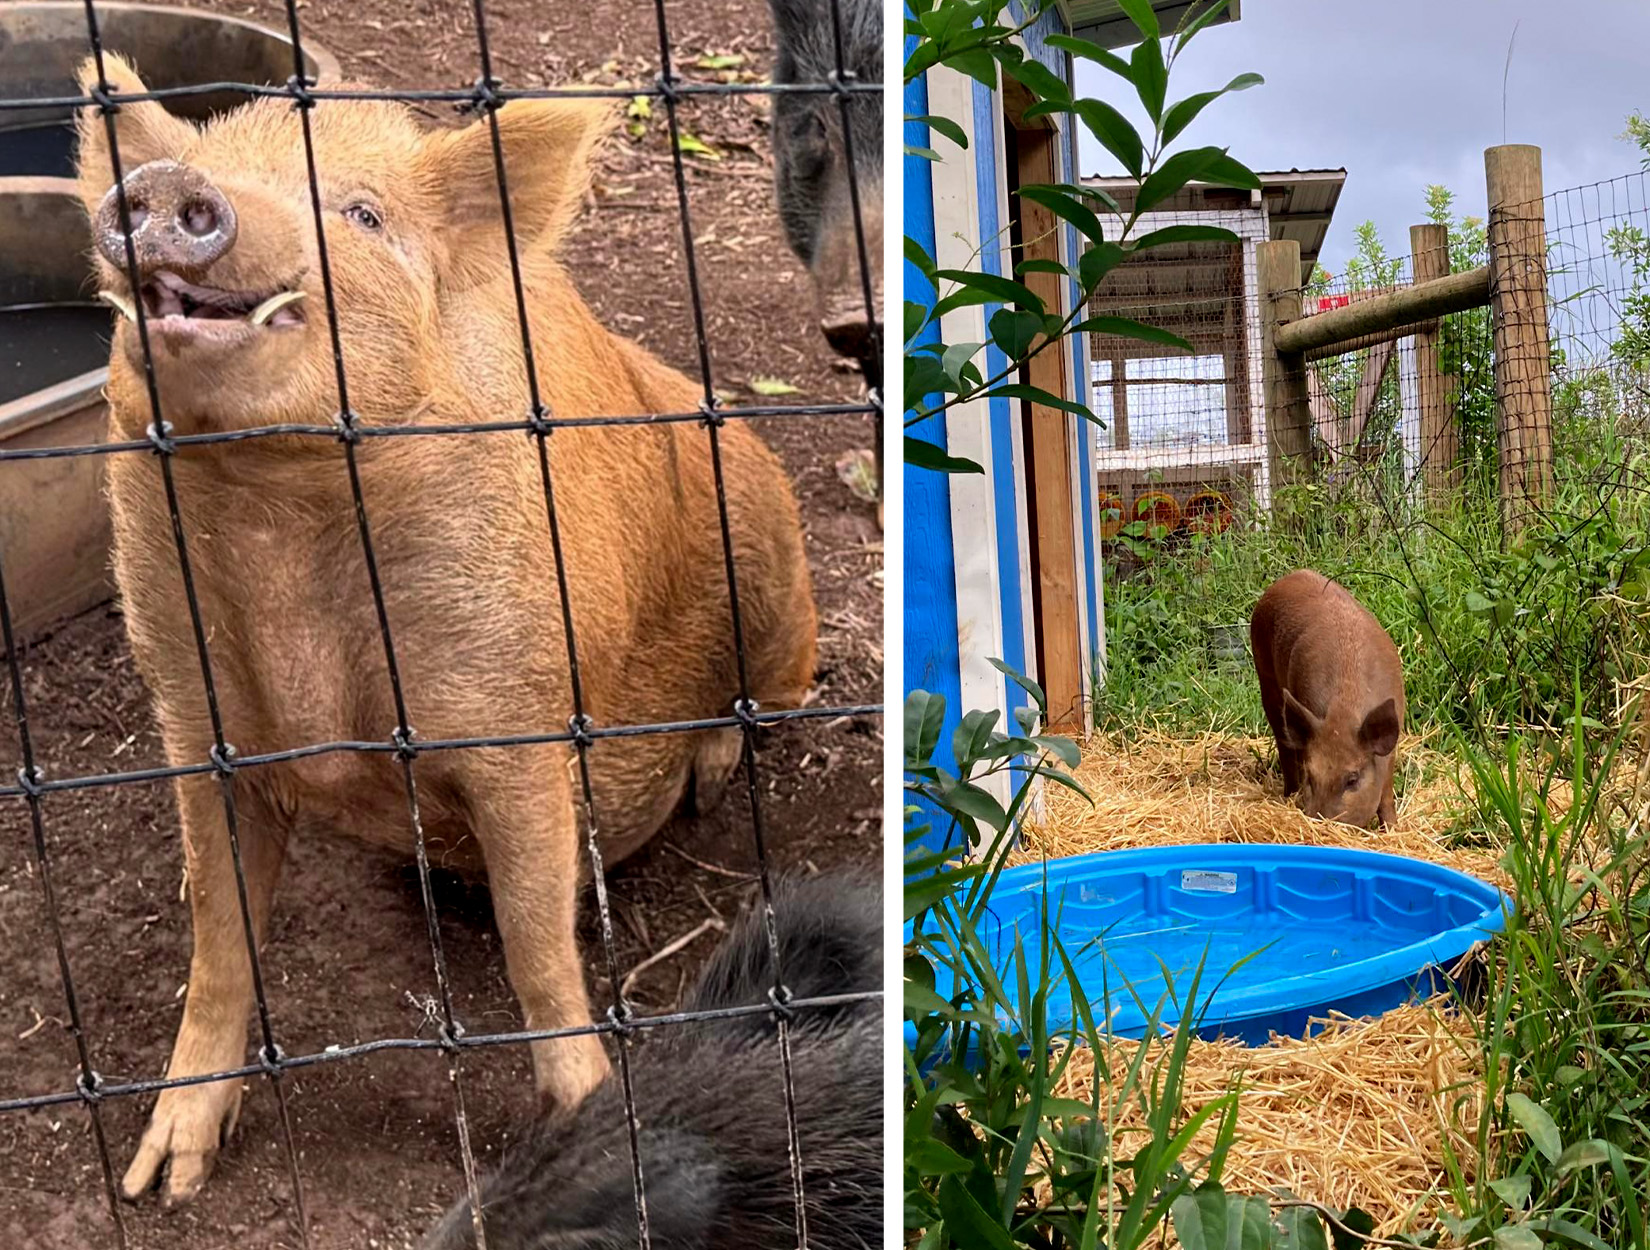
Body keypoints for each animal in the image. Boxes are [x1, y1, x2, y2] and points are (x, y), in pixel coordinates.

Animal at [72, 61, 818, 1213]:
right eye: (205, 160)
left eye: (364, 215)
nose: (166, 187)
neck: (281, 512)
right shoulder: (195, 719)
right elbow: (220, 937)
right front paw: (163, 1181)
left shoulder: (521, 721)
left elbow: (538, 942)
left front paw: (588, 1116)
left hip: (775, 556)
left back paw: (712, 769)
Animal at [1247, 570, 1405, 831]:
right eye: (1312, 777)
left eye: (1352, 779)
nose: (1320, 821)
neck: (1344, 713)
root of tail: (1294, 574)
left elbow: (1387, 794)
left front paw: (1392, 829)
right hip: (1265, 676)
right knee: (1284, 743)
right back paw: (1288, 795)